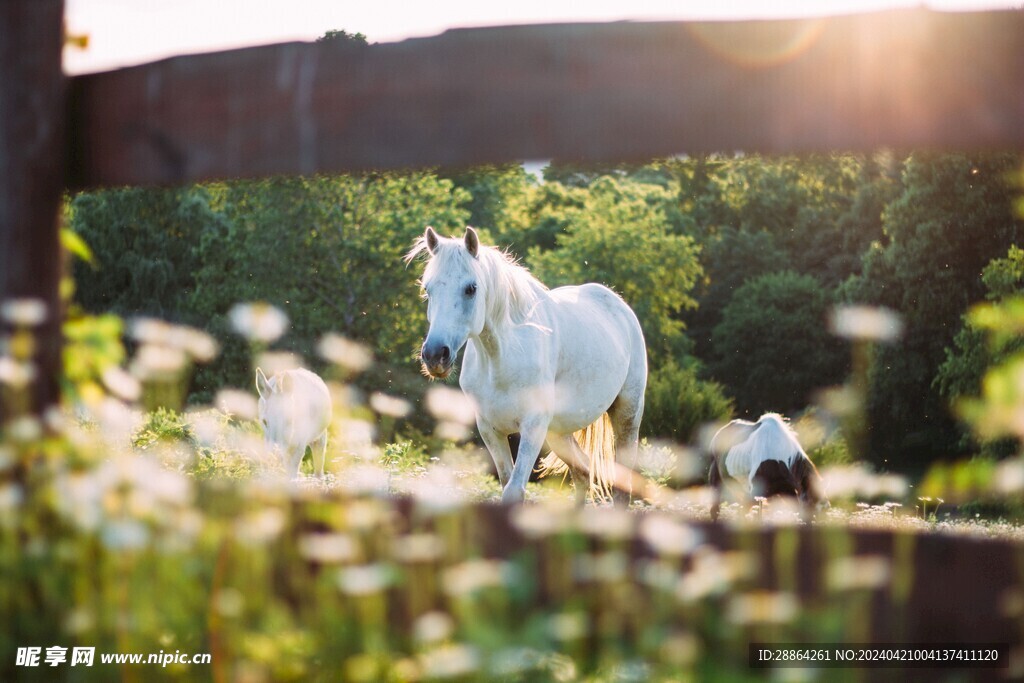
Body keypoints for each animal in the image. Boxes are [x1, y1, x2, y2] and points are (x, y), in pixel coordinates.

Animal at [407, 227, 647, 505]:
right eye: (428, 289)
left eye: (471, 288)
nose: (435, 355)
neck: (501, 360)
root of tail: (618, 305)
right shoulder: (490, 429)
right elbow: (505, 482)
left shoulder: (533, 426)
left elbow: (514, 490)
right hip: (558, 433)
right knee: (582, 472)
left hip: (627, 414)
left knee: (621, 482)